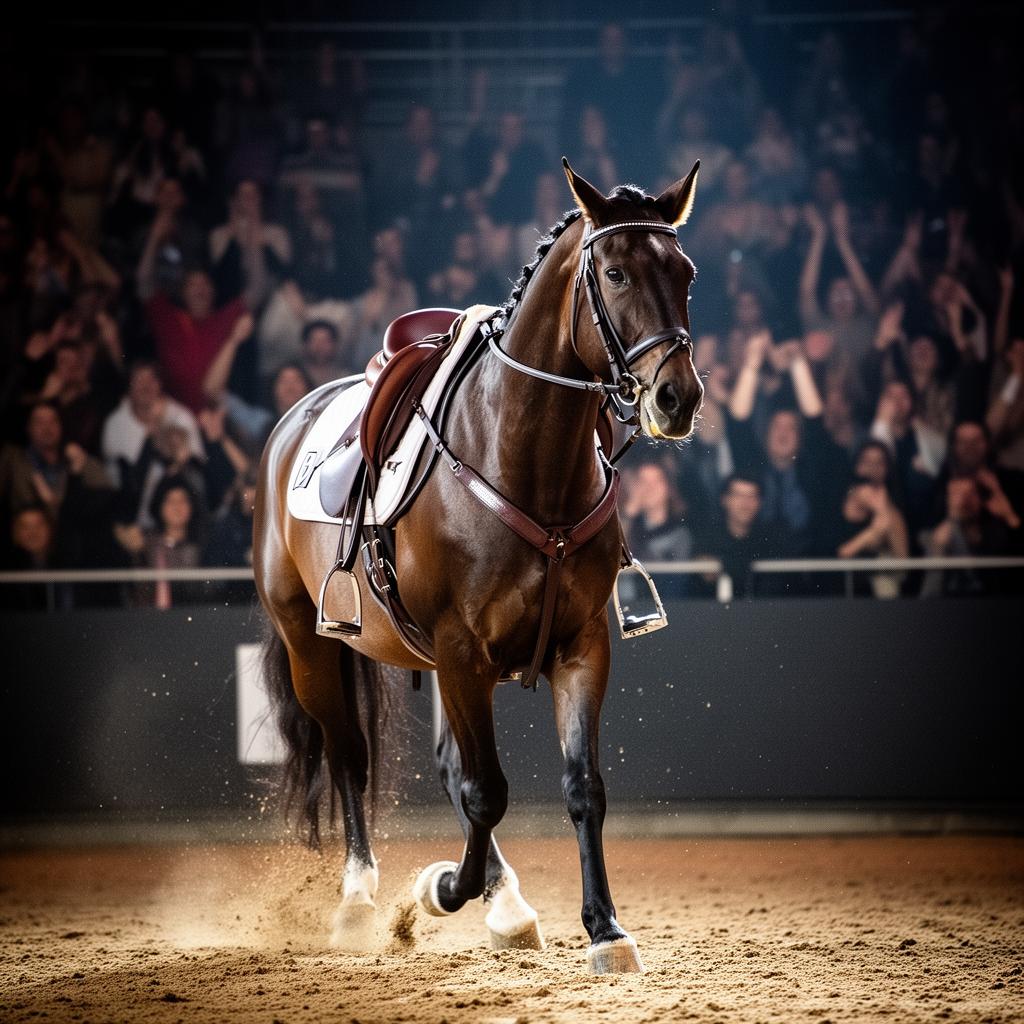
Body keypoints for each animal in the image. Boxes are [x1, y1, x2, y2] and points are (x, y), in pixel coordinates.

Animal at [253, 159, 703, 974]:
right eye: (615, 272)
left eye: (685, 272)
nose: (676, 396)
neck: (524, 455)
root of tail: (295, 419)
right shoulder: (463, 651)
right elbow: (486, 790)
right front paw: (441, 890)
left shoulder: (581, 646)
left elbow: (581, 786)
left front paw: (605, 928)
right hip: (311, 643)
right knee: (349, 754)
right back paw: (361, 898)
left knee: (445, 767)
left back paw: (507, 904)